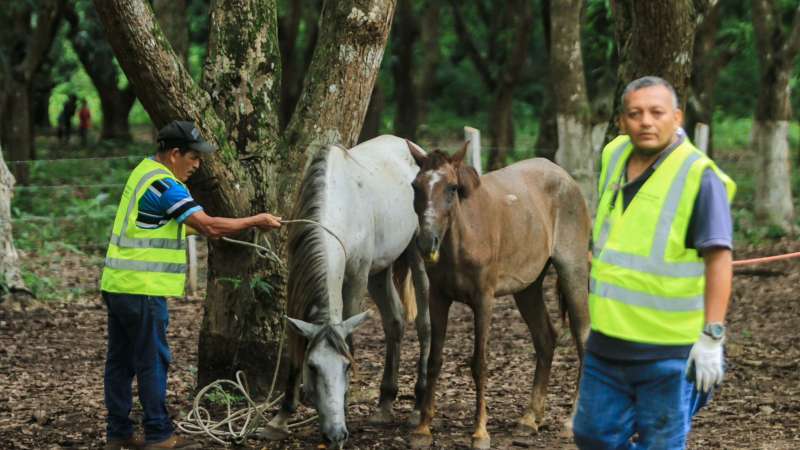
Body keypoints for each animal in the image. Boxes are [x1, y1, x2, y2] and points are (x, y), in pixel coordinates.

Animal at [266, 135, 432, 448]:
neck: (338, 205)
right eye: (313, 367)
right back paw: (385, 404)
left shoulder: (356, 279)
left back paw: (418, 407)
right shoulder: (297, 282)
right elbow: (294, 347)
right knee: (395, 322)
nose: (335, 435)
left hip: (417, 254)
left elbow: (351, 338)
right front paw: (280, 418)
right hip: (379, 272)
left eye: (346, 367)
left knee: (425, 325)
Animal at [406, 143, 592, 450]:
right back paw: (529, 419)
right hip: (528, 288)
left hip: (572, 271)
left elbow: (479, 364)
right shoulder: (438, 297)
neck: (464, 235)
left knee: (582, 337)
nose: (426, 242)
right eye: (415, 186)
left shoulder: (484, 299)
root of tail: (567, 179)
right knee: (546, 339)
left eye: (452, 188)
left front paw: (480, 432)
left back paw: (571, 422)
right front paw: (422, 429)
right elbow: (434, 360)